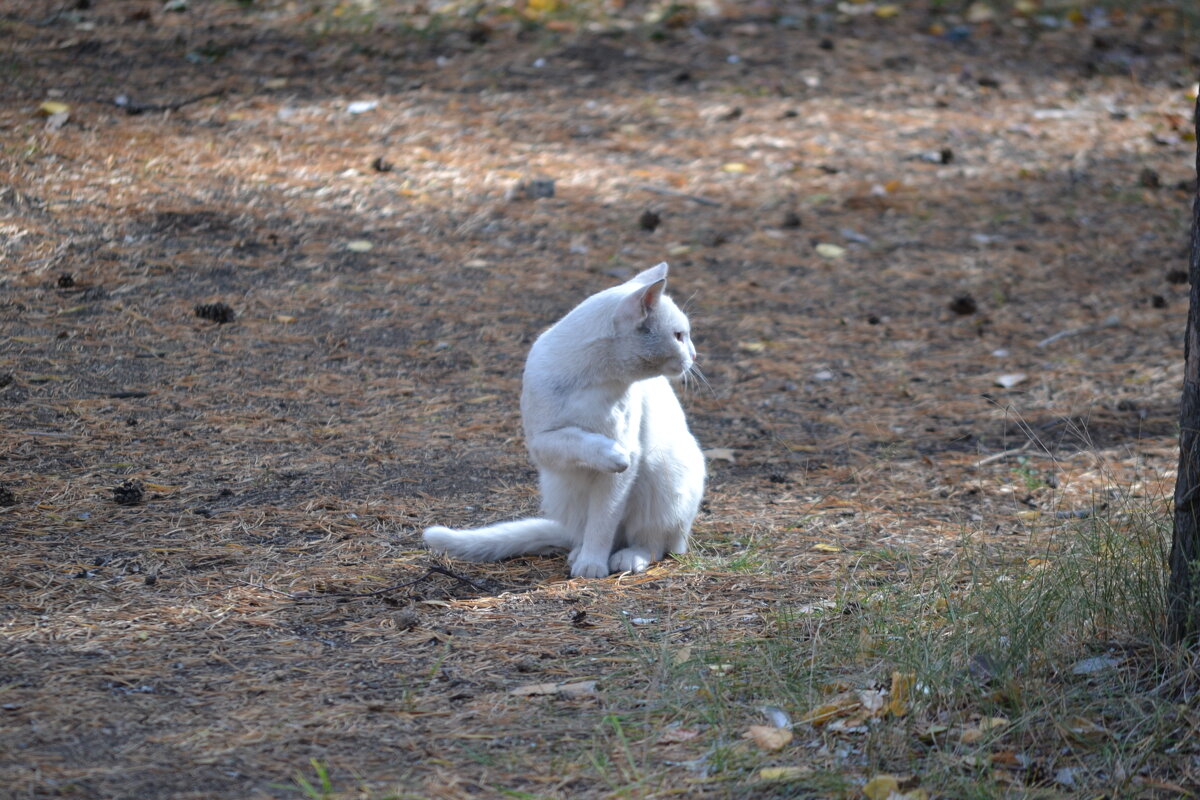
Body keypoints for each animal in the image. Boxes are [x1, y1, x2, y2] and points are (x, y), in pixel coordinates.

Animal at [422, 262, 700, 575]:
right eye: (679, 336)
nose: (694, 355)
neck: (596, 379)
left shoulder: (627, 458)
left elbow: (603, 521)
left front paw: (592, 565)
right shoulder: (541, 442)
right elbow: (575, 439)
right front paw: (609, 454)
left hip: (662, 472)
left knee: (652, 543)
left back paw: (627, 558)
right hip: (560, 486)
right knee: (587, 533)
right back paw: (578, 553)